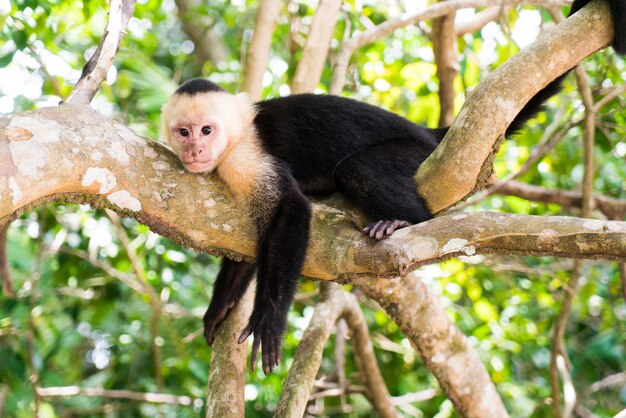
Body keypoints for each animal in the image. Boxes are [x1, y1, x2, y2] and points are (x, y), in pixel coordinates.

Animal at [162, 0, 624, 372]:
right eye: (183, 132)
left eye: (207, 130)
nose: (195, 150)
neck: (234, 141)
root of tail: (426, 132)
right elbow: (253, 244)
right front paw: (220, 306)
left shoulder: (245, 159)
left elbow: (291, 212)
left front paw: (267, 322)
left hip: (411, 151)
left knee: (361, 172)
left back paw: (402, 221)